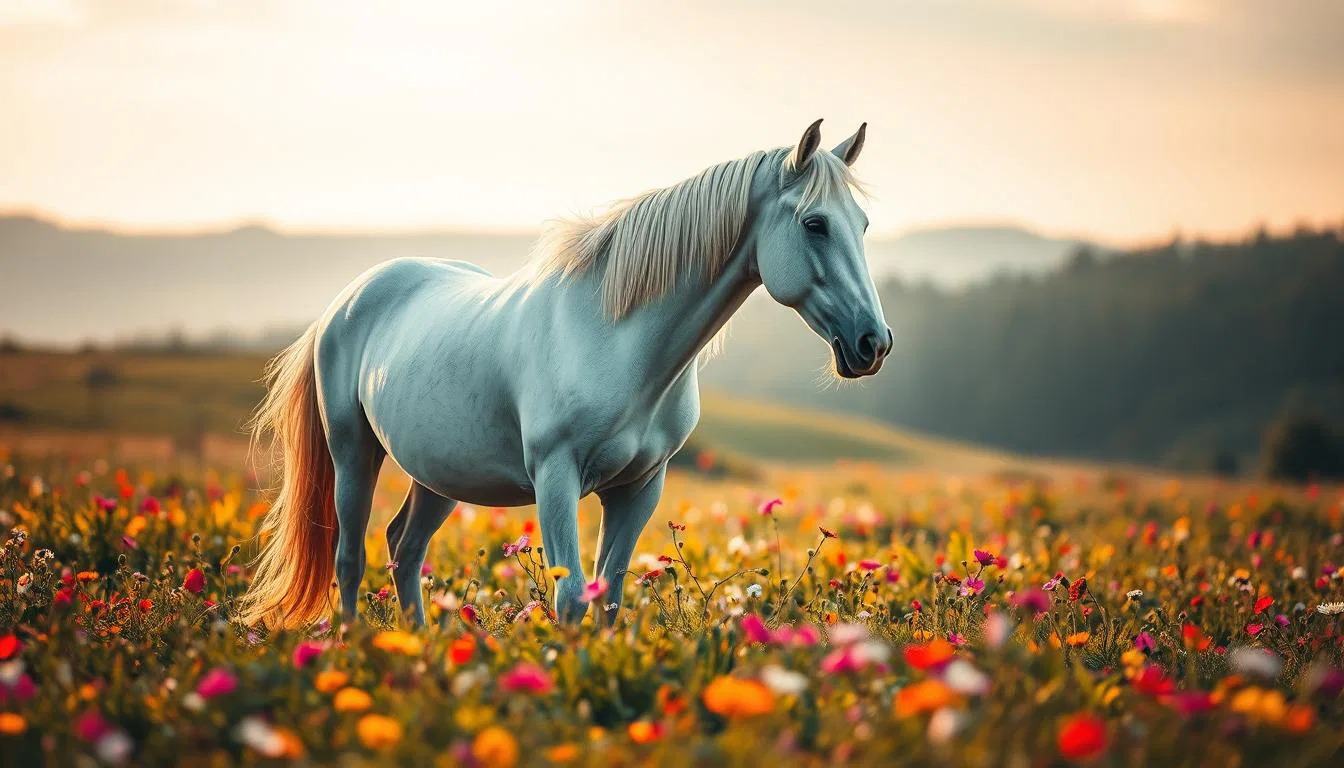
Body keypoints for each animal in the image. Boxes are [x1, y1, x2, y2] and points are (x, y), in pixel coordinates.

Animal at [238, 119, 892, 629]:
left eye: (861, 224)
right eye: (814, 224)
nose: (873, 343)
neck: (619, 342)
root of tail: (346, 302)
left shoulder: (641, 487)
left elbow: (610, 598)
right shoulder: (556, 476)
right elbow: (572, 597)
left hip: (439, 474)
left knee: (404, 547)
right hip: (353, 453)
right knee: (350, 558)